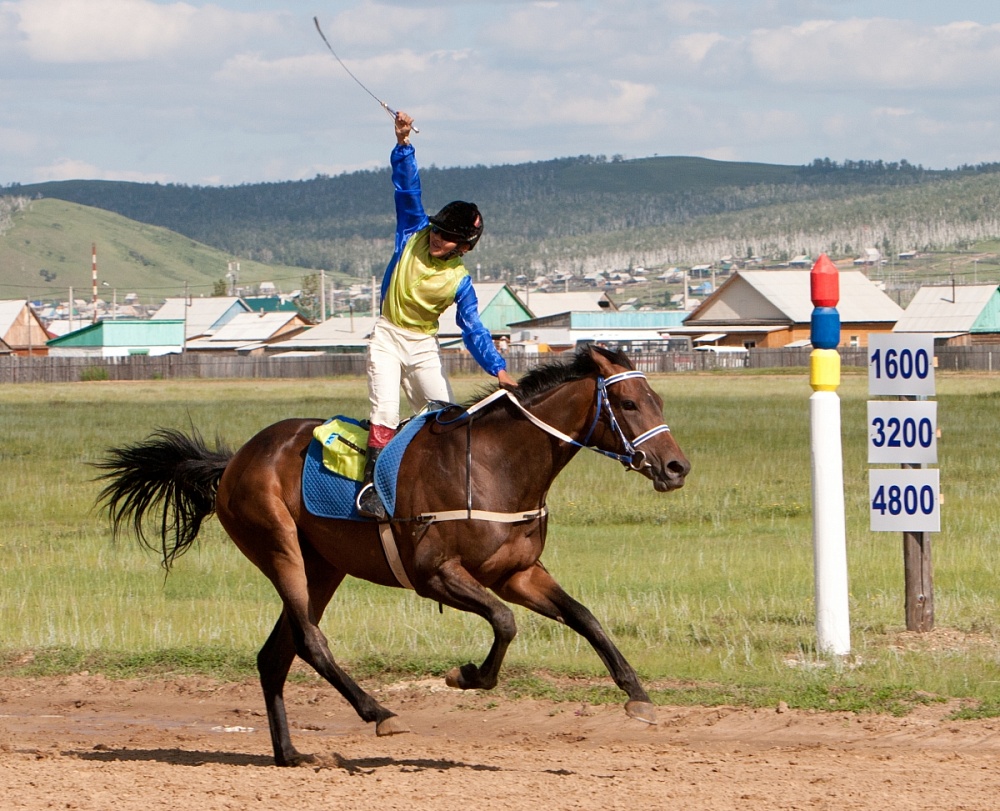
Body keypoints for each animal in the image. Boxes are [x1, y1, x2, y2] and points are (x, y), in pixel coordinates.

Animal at [95, 342, 688, 768]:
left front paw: (637, 695)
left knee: (275, 653)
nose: (676, 467)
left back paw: (289, 753)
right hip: (279, 546)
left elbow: (584, 618)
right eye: (628, 404)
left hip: (323, 566)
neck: (495, 464)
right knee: (308, 642)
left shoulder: (517, 572)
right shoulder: (435, 573)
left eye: (658, 401)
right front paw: (467, 676)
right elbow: (504, 621)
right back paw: (377, 711)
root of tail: (236, 458)